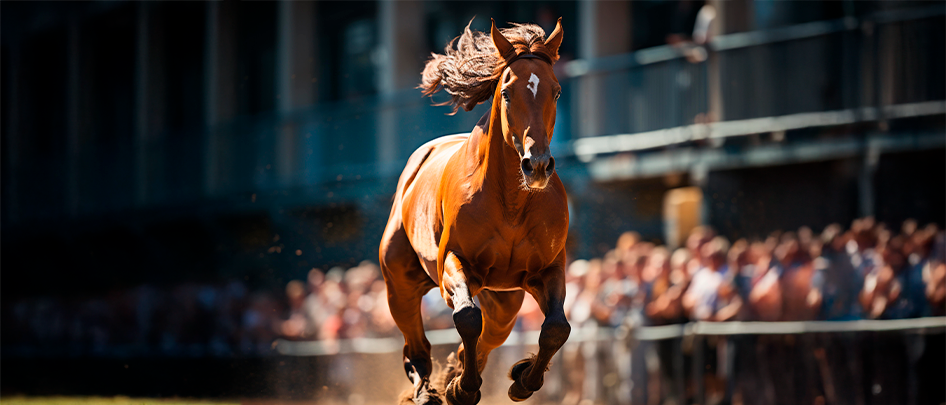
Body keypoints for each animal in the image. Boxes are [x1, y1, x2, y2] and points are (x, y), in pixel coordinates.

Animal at [379, 18, 569, 405]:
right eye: (508, 92)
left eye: (556, 92)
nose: (538, 165)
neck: (512, 204)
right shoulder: (454, 262)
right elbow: (467, 317)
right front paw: (462, 389)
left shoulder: (548, 268)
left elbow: (557, 327)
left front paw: (523, 378)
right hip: (399, 281)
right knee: (417, 346)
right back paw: (427, 390)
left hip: (504, 299)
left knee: (491, 335)